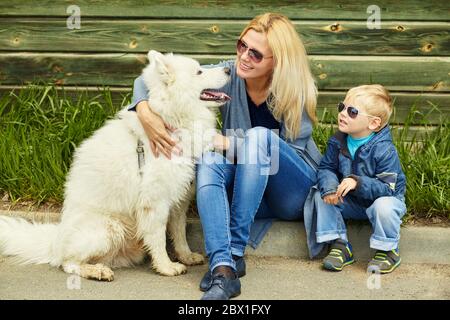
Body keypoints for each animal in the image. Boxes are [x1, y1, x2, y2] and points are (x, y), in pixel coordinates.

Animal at [0, 50, 230, 280]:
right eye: (199, 71)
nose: (228, 69)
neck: (172, 120)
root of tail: (55, 241)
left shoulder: (179, 200)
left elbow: (179, 232)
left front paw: (186, 257)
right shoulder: (154, 202)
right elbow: (158, 238)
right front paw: (166, 266)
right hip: (109, 228)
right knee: (68, 263)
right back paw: (96, 271)